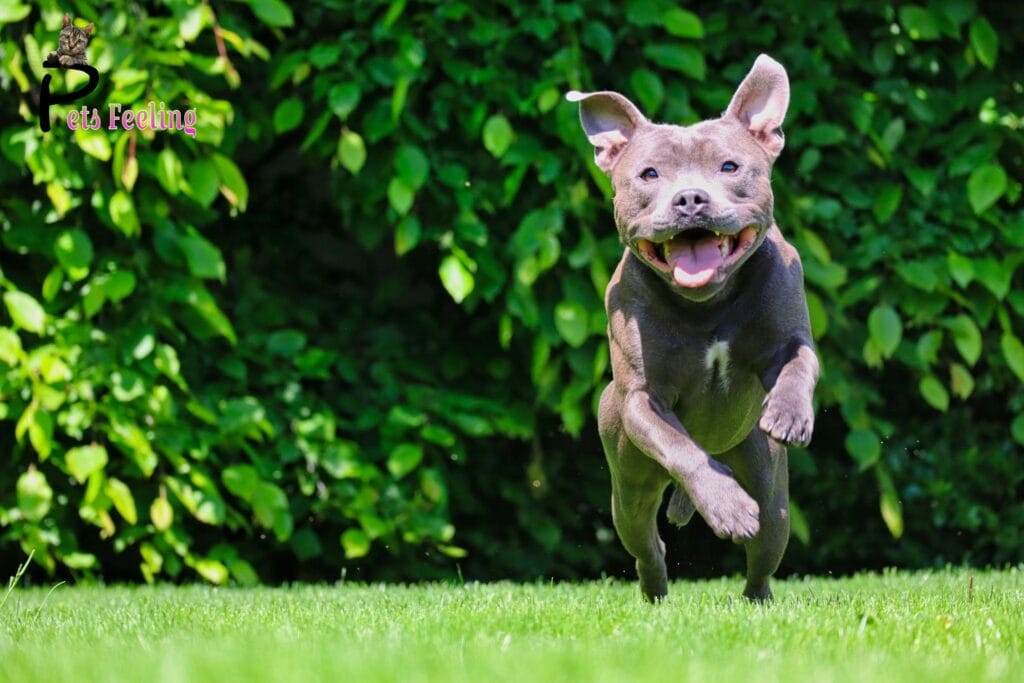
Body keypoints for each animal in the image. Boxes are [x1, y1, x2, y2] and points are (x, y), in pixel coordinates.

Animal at [573, 56, 819, 602]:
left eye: (729, 166)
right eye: (649, 173)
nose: (689, 198)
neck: (707, 303)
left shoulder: (791, 337)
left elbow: (799, 364)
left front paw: (789, 414)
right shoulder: (642, 400)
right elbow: (683, 449)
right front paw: (727, 506)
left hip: (772, 491)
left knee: (763, 554)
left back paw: (757, 604)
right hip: (629, 489)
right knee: (648, 545)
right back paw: (657, 593)